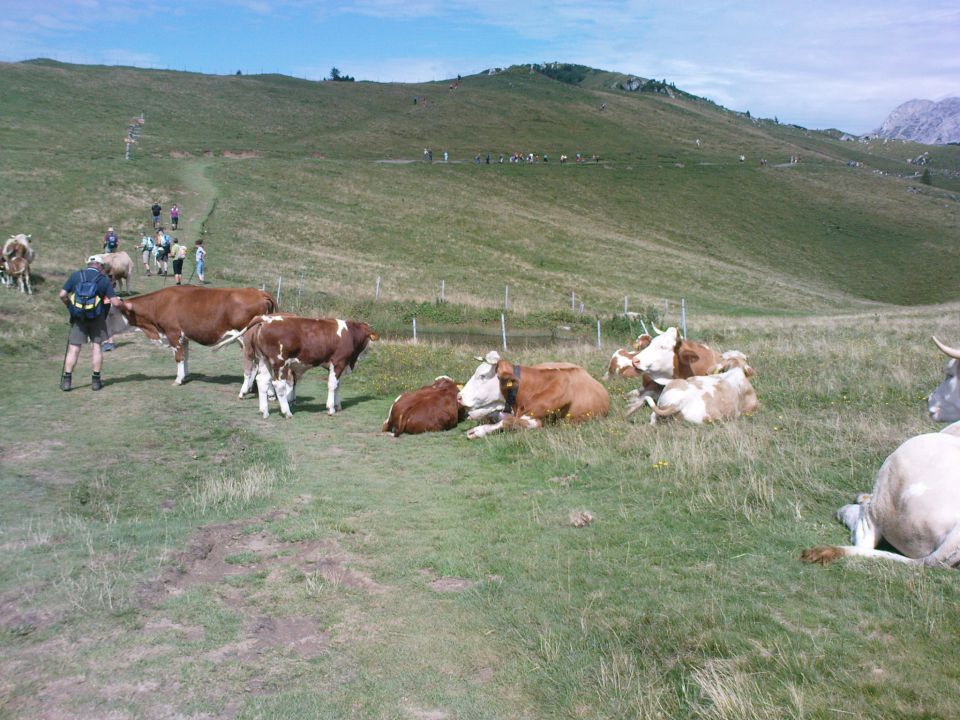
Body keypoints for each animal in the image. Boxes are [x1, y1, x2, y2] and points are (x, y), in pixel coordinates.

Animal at [216, 314, 376, 420]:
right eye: (369, 338)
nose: (370, 351)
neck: (350, 334)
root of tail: (266, 319)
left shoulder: (338, 366)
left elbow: (337, 385)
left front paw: (338, 405)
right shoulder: (338, 362)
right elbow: (332, 385)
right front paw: (330, 408)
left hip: (264, 360)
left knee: (262, 381)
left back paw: (264, 411)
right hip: (279, 363)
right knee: (278, 385)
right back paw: (286, 412)